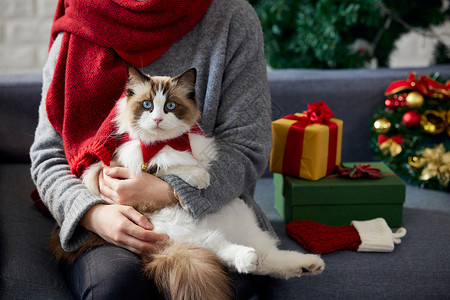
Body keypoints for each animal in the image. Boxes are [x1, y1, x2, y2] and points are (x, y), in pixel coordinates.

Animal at [48, 66, 324, 300]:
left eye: (170, 106)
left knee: (268, 258)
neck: (167, 141)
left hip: (241, 222)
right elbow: (172, 165)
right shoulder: (132, 165)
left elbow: (194, 161)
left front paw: (200, 175)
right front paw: (199, 178)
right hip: (187, 233)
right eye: (147, 105)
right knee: (226, 250)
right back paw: (250, 257)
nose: (158, 120)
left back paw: (311, 264)